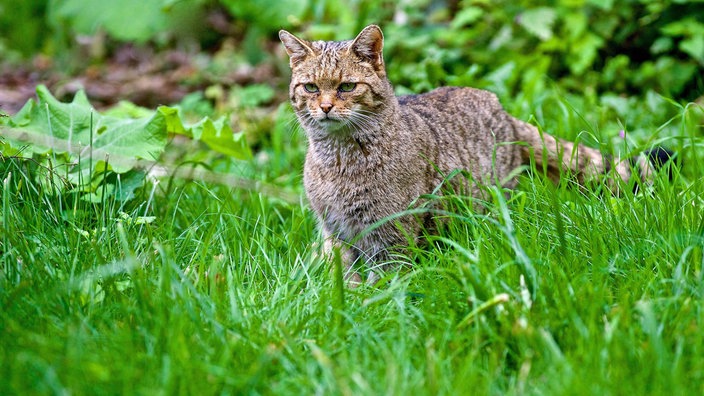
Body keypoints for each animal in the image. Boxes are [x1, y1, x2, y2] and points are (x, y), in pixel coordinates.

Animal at [278, 24, 672, 284]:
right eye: (310, 87)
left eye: (347, 86)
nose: (325, 107)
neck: (339, 159)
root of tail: (501, 107)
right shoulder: (335, 231)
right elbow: (345, 277)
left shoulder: (391, 233)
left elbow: (386, 280)